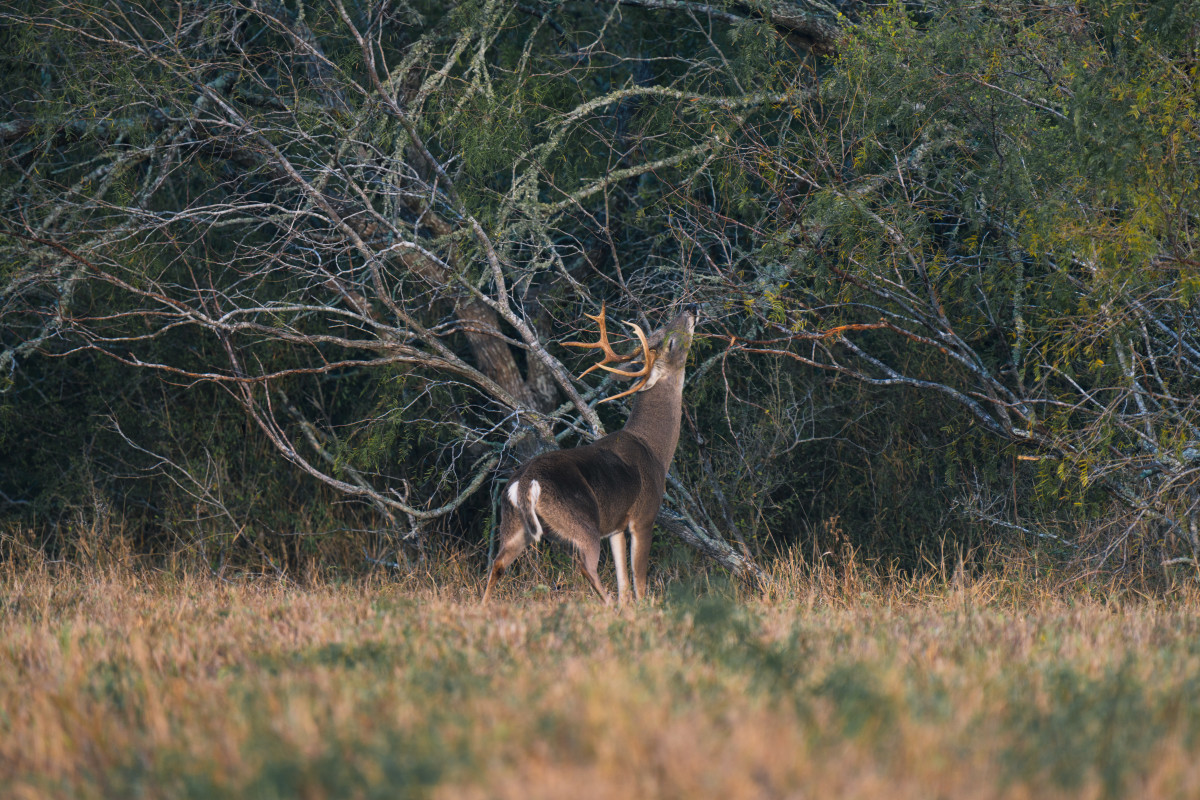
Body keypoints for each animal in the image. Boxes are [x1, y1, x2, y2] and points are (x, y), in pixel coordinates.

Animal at [482, 303, 700, 604]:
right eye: (670, 342)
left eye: (661, 327)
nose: (691, 308)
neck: (655, 450)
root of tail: (524, 482)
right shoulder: (643, 515)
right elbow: (639, 582)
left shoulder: (616, 526)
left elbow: (624, 584)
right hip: (581, 520)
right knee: (585, 566)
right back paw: (605, 605)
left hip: (514, 524)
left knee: (498, 564)